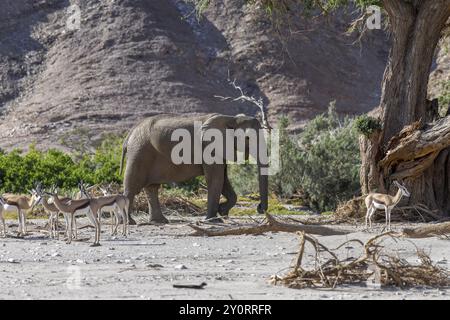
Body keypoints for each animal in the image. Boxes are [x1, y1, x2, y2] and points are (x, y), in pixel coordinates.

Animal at [119, 114, 268, 224]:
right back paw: (129, 222)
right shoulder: (209, 147)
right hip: (139, 153)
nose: (259, 208)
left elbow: (224, 179)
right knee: (133, 186)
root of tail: (130, 133)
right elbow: (216, 179)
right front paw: (213, 220)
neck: (231, 118)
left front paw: (222, 212)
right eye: (248, 138)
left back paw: (160, 221)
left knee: (152, 187)